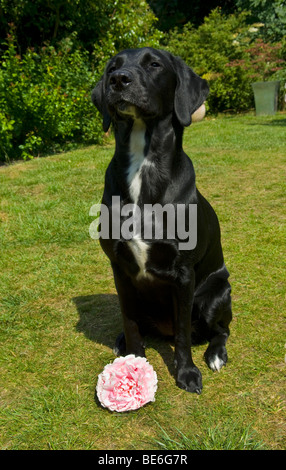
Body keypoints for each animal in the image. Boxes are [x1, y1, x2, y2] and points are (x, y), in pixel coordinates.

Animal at [92, 47, 231, 392]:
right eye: (112, 68)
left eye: (154, 64)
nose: (119, 80)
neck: (143, 166)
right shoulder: (120, 268)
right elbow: (130, 322)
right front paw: (134, 360)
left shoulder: (183, 274)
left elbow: (182, 334)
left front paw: (186, 373)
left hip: (216, 293)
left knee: (219, 330)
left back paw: (215, 354)